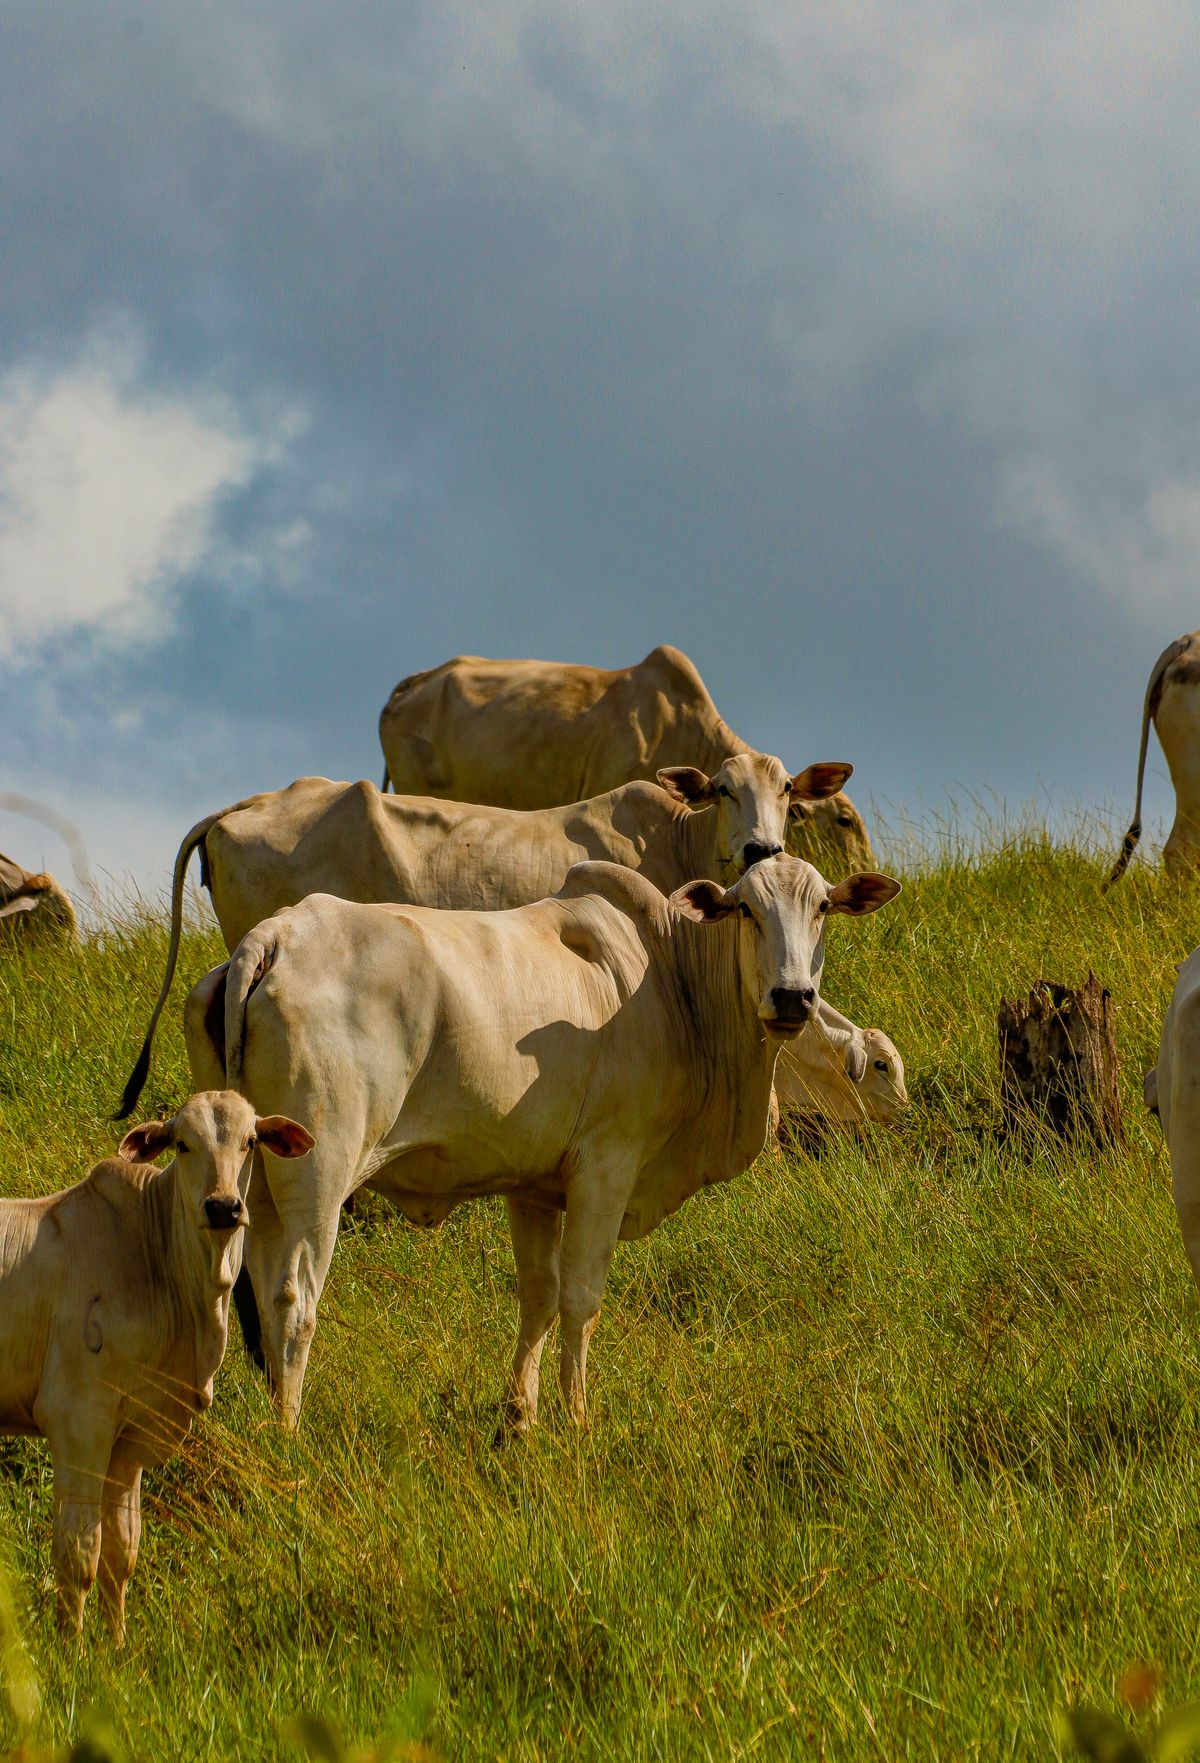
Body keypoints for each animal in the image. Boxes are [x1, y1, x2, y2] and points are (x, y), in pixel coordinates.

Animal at [0, 1092, 313, 1640]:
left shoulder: (132, 1438)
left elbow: (121, 1553)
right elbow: (78, 1556)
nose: (223, 1206)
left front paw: (117, 1648)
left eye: (251, 1141)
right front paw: (73, 1653)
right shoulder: (78, 1421)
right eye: (182, 1145)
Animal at [183, 854, 900, 1431]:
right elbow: (581, 1298)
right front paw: (576, 1418)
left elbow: (538, 1297)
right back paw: (289, 1430)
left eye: (824, 907)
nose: (793, 997)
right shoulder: (606, 1167)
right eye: (746, 908)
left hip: (250, 1176)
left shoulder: (531, 1187)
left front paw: (519, 1414)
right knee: (293, 1297)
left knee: (249, 1290)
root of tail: (276, 935)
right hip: (319, 1174)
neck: (672, 980)